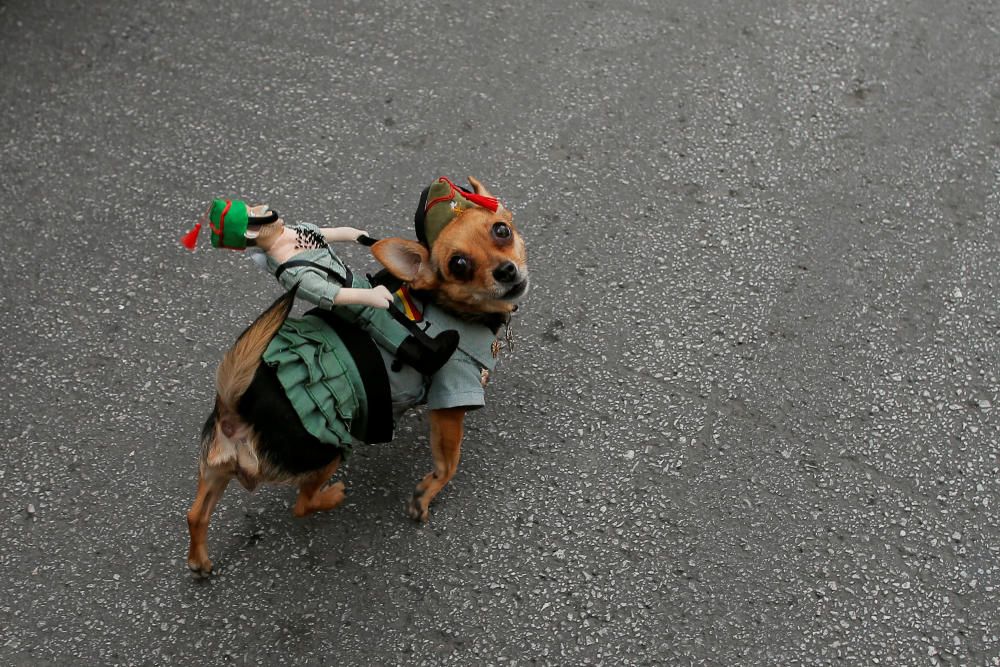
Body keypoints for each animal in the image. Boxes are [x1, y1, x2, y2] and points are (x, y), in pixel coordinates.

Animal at [189, 177, 532, 576]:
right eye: (459, 265)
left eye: (501, 231)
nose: (506, 271)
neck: (448, 307)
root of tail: (236, 408)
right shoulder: (450, 402)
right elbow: (449, 464)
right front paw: (425, 495)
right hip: (328, 454)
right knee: (302, 504)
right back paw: (332, 495)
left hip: (217, 472)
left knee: (195, 514)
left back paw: (199, 561)